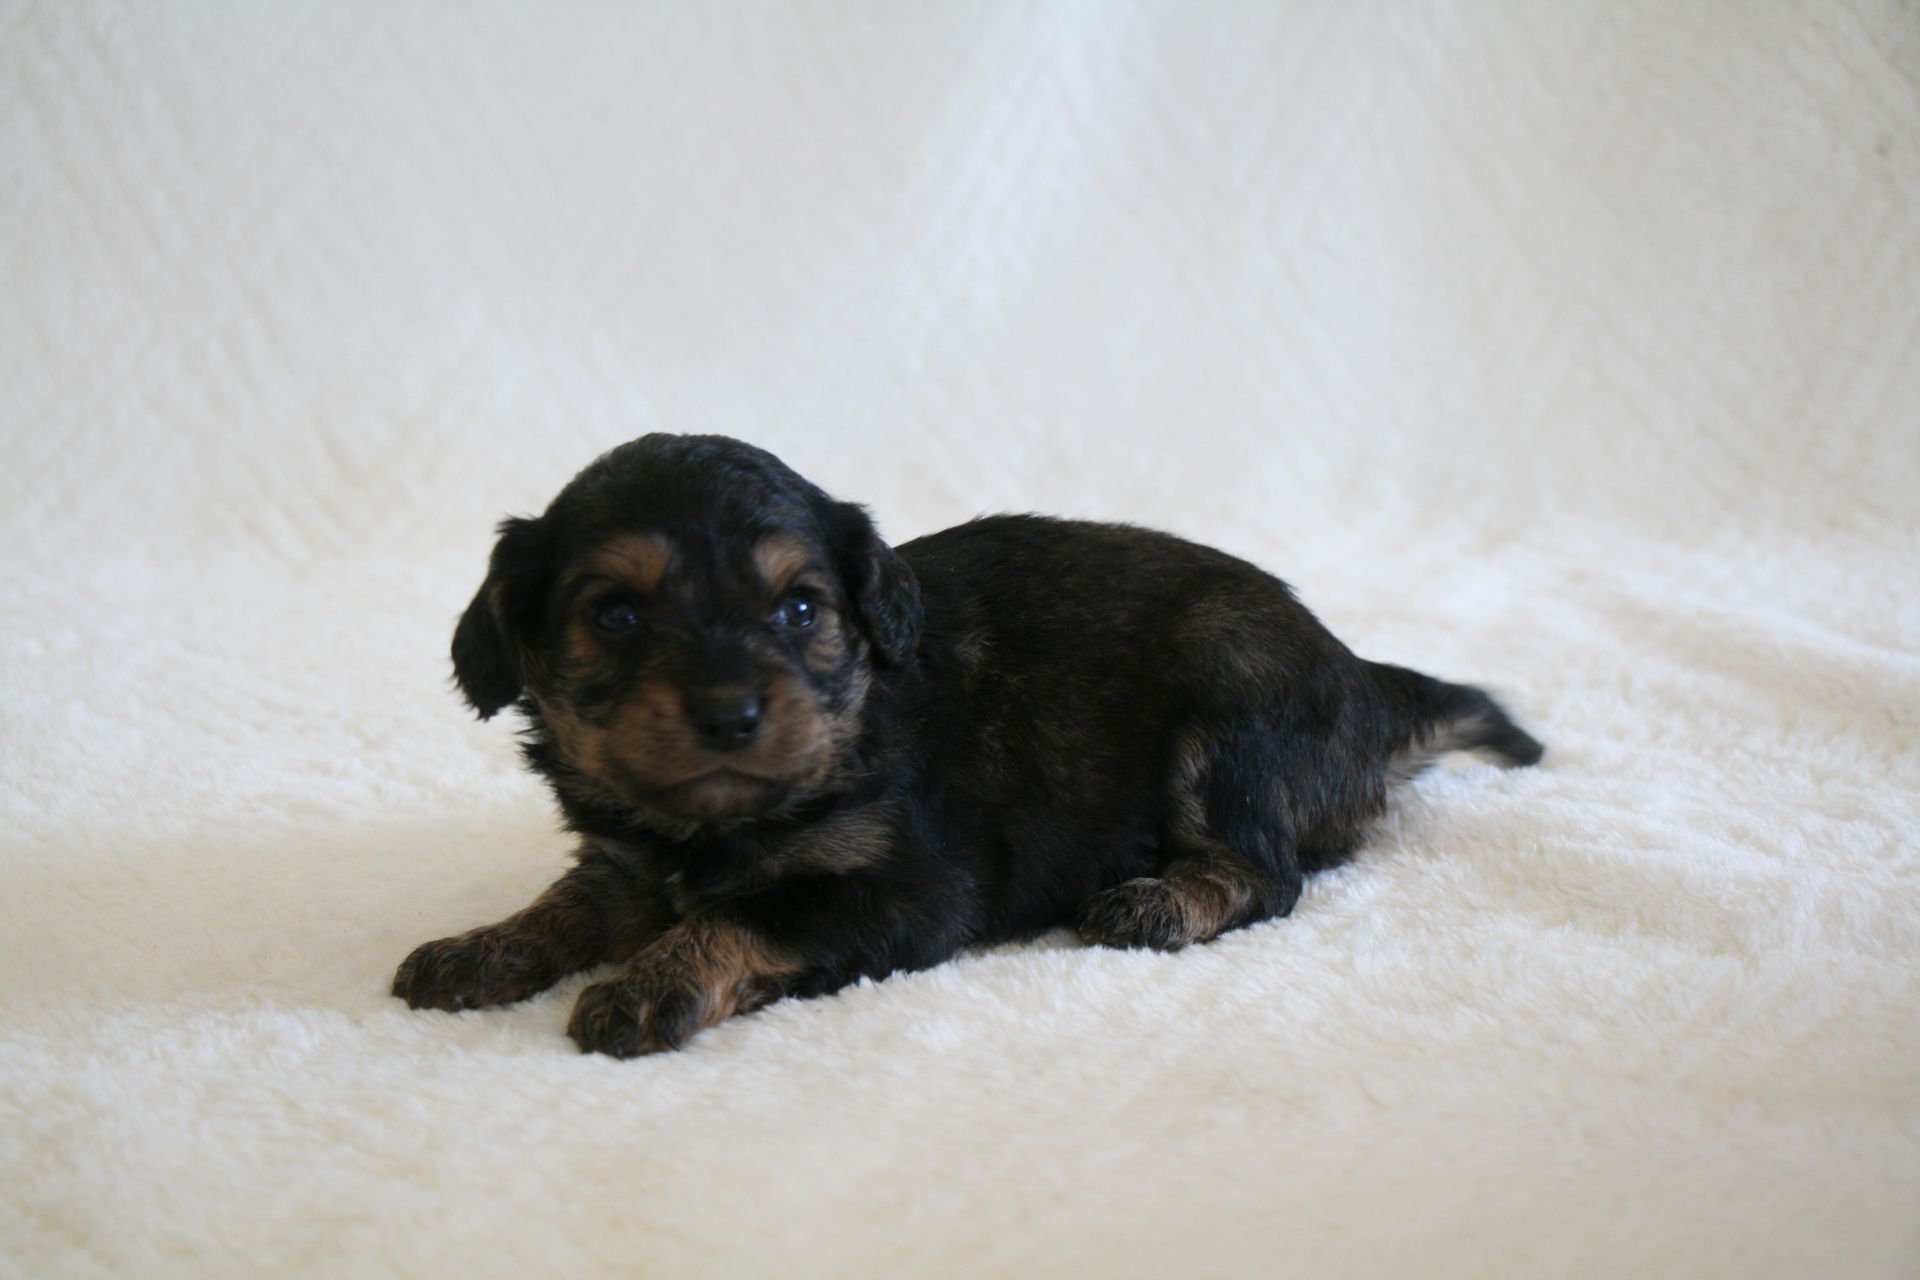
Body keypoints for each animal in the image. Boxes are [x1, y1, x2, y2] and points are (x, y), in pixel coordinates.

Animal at [394, 434, 1543, 1056]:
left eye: (801, 607)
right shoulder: (624, 862)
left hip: (1231, 706)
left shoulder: (910, 889)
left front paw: (645, 983)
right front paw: (477, 946)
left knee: (1272, 872)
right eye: (618, 616)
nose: (728, 716)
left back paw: (1161, 900)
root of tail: (1359, 676)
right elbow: (567, 903)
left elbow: (745, 914)